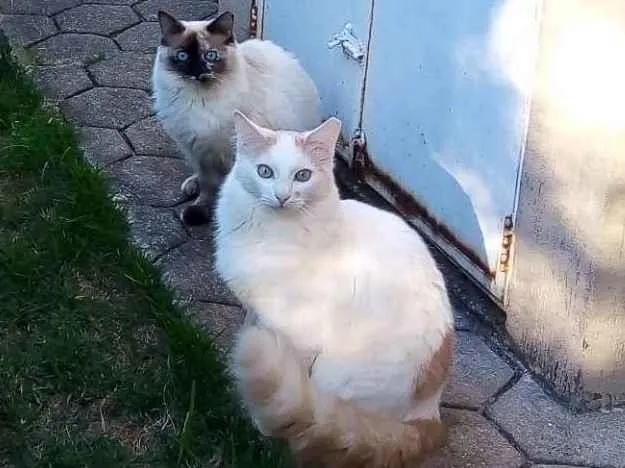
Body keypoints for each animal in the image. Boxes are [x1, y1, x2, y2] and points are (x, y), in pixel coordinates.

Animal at [151, 10, 321, 225]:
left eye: (211, 55)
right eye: (182, 56)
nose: (199, 73)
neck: (200, 102)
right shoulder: (198, 149)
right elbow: (207, 186)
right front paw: (199, 210)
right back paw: (191, 184)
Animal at [214, 111, 455, 467]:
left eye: (302, 176)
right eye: (264, 171)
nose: (282, 196)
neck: (270, 234)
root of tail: (430, 411)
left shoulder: (299, 334)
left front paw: (258, 423)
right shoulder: (257, 312)